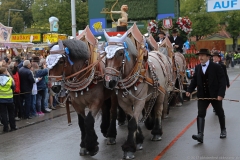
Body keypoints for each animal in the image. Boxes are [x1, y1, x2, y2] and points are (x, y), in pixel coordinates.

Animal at [103, 25, 169, 159]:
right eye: (105, 53)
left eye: (120, 53)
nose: (109, 82)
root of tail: (158, 53)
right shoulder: (124, 103)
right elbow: (133, 119)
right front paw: (138, 140)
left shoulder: (140, 101)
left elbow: (133, 123)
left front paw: (129, 149)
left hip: (161, 93)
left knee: (158, 110)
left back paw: (157, 132)